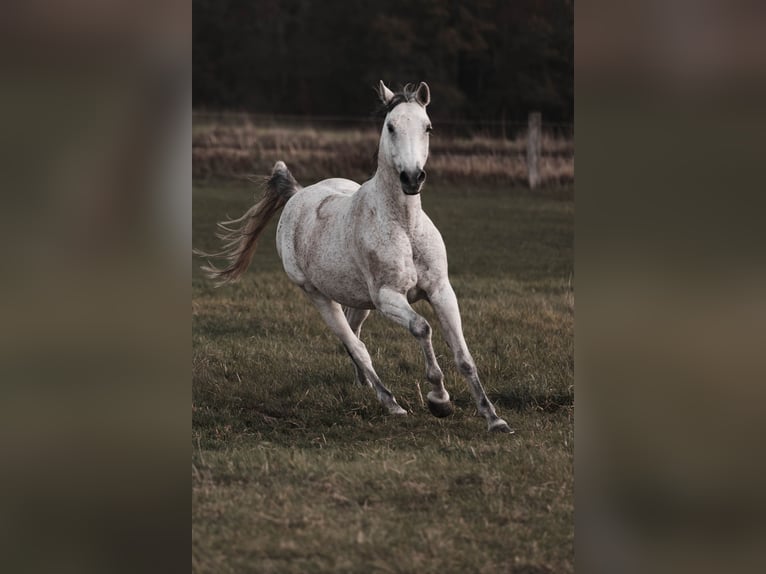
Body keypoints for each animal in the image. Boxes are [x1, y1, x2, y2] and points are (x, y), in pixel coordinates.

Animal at [195, 80, 512, 432]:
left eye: (428, 127)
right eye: (391, 126)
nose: (412, 178)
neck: (405, 226)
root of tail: (296, 195)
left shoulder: (441, 290)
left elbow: (463, 356)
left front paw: (494, 418)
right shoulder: (389, 297)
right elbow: (422, 328)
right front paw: (439, 400)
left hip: (361, 301)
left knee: (355, 332)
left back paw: (364, 383)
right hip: (319, 295)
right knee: (356, 345)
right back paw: (391, 403)